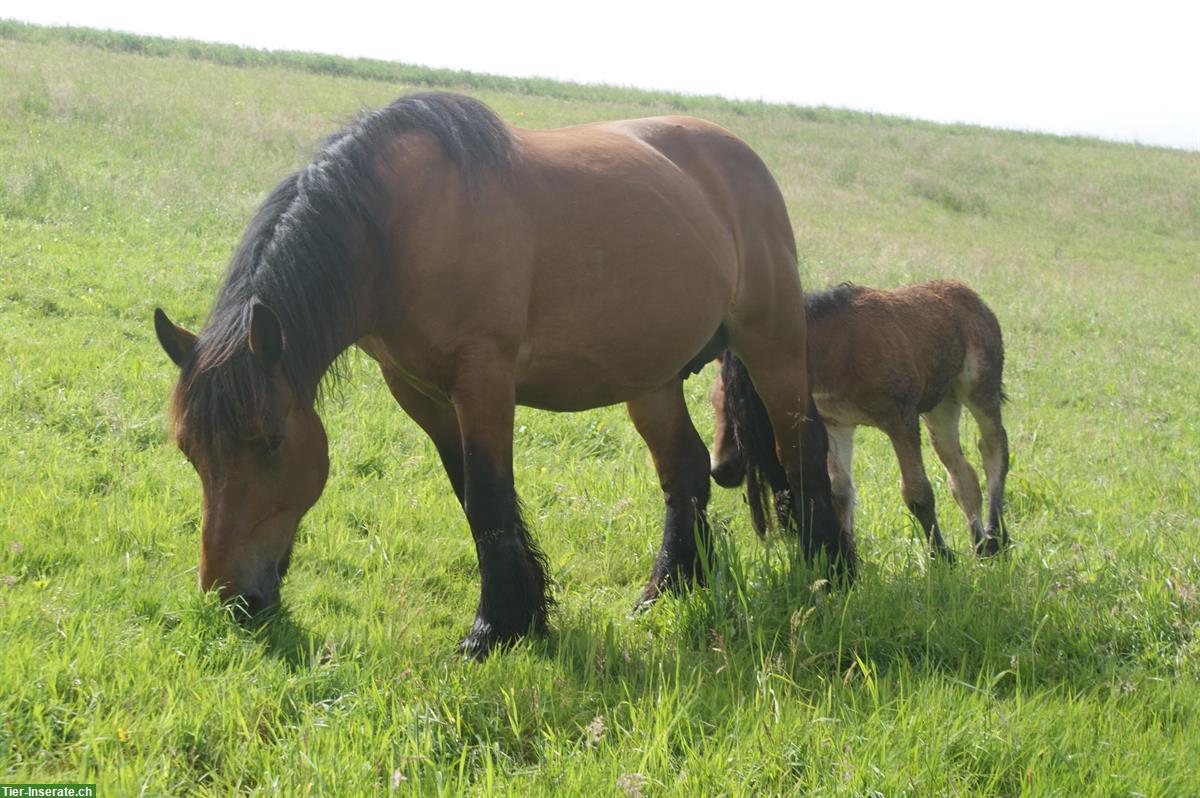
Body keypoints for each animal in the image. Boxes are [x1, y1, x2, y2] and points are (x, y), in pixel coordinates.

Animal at [152, 90, 854, 657]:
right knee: (684, 474)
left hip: (772, 343)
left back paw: (830, 575)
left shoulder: (483, 381)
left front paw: (493, 629)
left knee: (801, 447)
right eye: (189, 451)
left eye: (270, 441)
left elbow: (490, 497)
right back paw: (666, 591)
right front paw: (527, 615)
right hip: (650, 381)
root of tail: (740, 156)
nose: (231, 598)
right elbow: (471, 497)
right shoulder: (418, 392)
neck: (399, 227)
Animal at [710, 279, 1012, 559]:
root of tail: (972, 296)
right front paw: (848, 553)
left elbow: (917, 491)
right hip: (941, 405)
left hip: (980, 388)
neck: (840, 348)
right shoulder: (836, 424)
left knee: (993, 449)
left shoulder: (900, 417)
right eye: (713, 402)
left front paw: (941, 556)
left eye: (745, 411)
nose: (721, 470)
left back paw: (996, 538)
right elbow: (840, 492)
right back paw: (980, 544)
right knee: (961, 472)